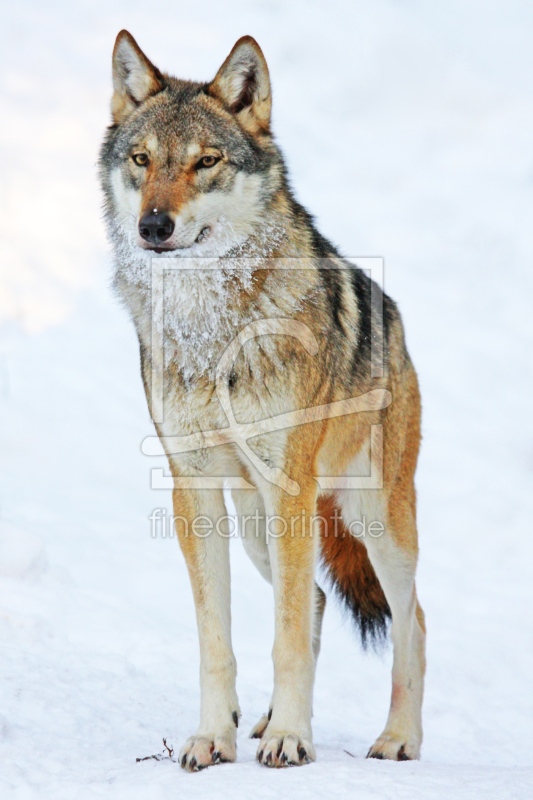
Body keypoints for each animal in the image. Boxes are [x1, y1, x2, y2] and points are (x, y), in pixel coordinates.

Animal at [98, 29, 424, 768]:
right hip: (255, 527)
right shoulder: (193, 490)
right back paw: (272, 716)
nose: (153, 226)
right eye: (142, 160)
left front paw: (290, 741)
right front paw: (212, 738)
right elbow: (218, 640)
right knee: (318, 602)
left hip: (370, 521)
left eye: (206, 162)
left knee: (410, 617)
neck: (211, 328)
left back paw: (397, 739)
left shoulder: (290, 489)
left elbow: (287, 638)